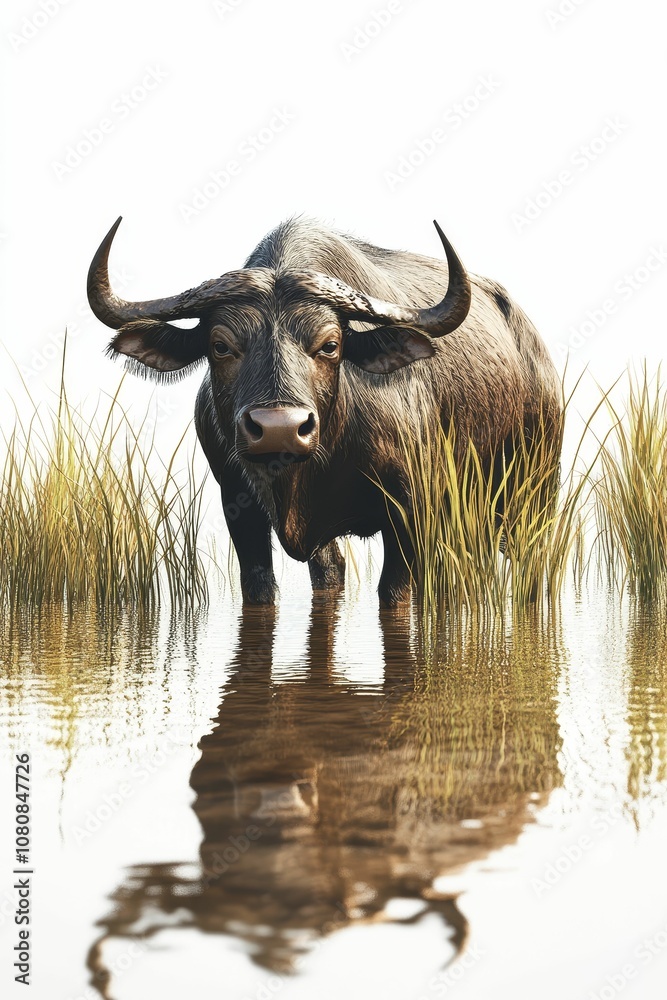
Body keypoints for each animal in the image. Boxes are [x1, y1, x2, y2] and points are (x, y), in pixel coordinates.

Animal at [87, 217, 560, 606]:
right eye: (220, 346)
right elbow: (272, 586)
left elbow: (394, 594)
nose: (279, 429)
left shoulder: (409, 511)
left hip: (533, 497)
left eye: (330, 345)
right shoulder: (239, 504)